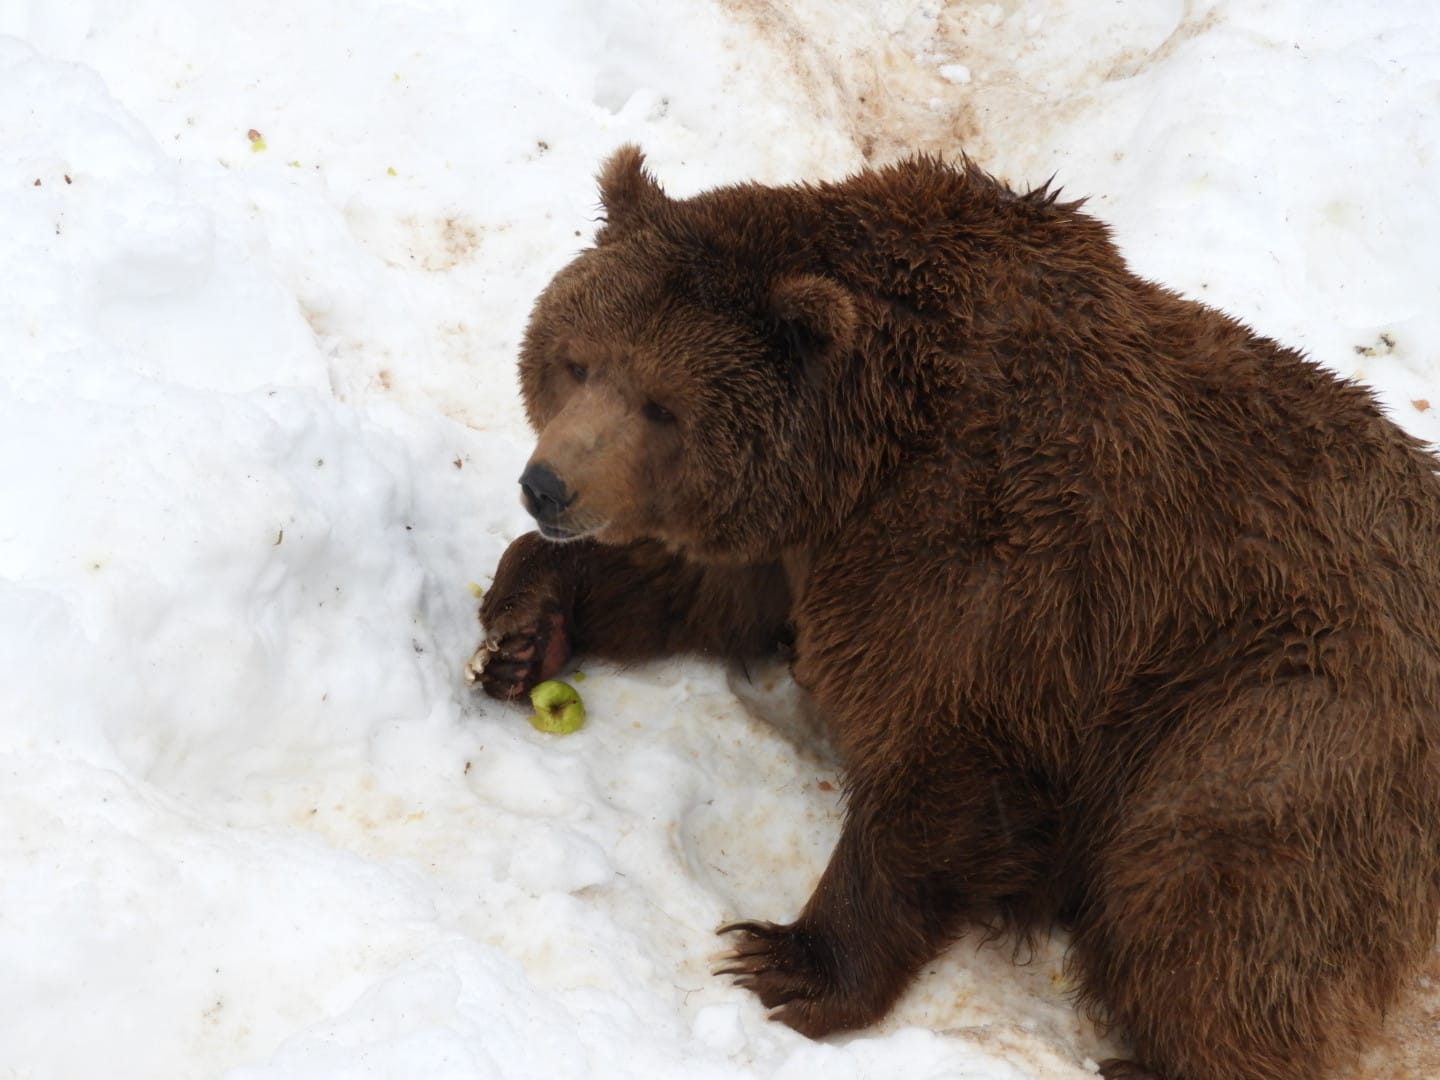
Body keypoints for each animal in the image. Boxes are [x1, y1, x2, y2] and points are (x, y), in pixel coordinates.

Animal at [471, 146, 1440, 1080]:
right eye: (578, 360)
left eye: (662, 405)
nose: (547, 485)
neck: (857, 456)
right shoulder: (802, 543)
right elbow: (701, 590)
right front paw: (524, 629)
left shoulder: (990, 563)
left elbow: (942, 769)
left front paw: (787, 961)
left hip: (1284, 711)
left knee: (1207, 888)